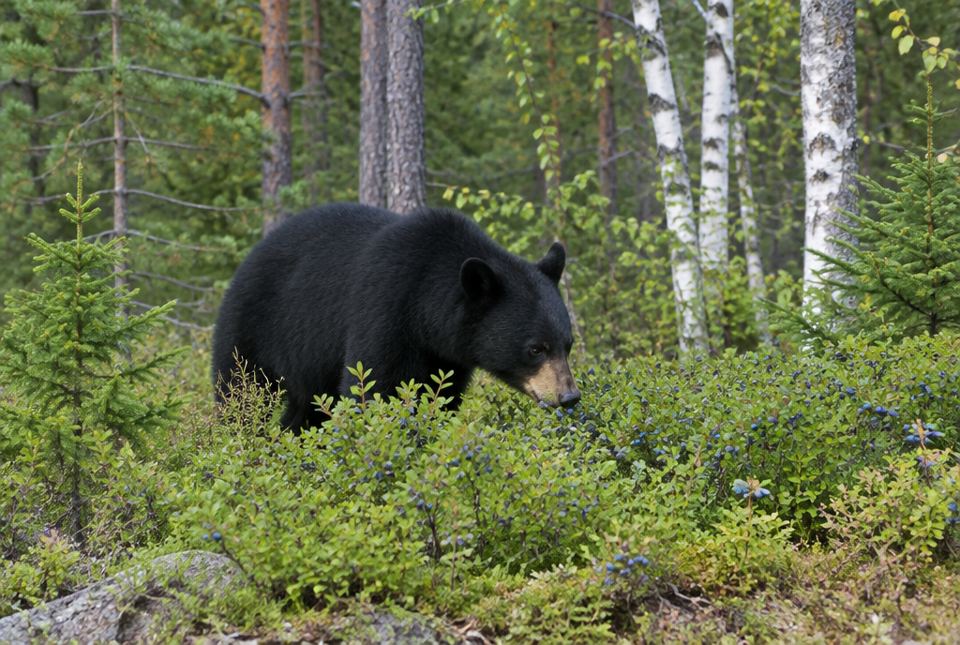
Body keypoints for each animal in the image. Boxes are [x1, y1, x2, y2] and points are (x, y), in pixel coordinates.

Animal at [212, 202, 580, 430]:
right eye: (535, 348)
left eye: (568, 344)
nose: (569, 396)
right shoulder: (386, 309)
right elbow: (375, 387)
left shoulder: (447, 355)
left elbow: (441, 396)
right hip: (252, 330)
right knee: (239, 394)